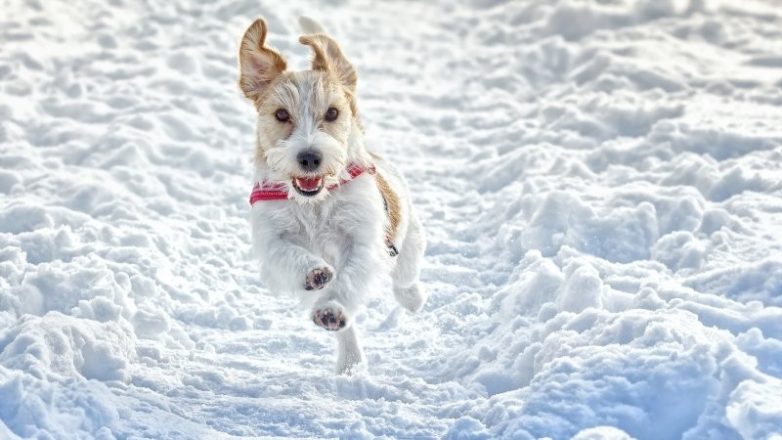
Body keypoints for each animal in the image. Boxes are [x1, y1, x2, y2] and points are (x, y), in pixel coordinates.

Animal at [239, 18, 428, 374]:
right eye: (281, 115)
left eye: (332, 113)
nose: (310, 157)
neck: (314, 202)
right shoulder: (271, 239)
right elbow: (288, 254)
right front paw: (313, 272)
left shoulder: (363, 241)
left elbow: (349, 279)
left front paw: (333, 308)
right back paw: (350, 361)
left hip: (408, 240)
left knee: (405, 277)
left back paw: (410, 299)